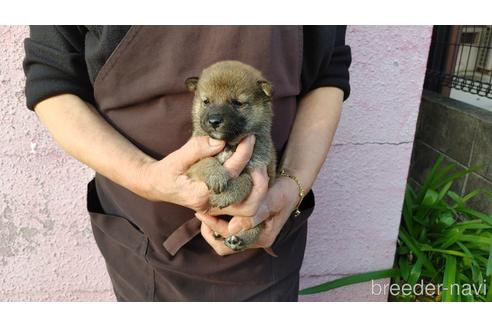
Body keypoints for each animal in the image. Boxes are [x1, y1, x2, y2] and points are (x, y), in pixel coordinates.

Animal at [185, 60, 276, 251]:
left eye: (237, 103)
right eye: (206, 101)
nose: (214, 121)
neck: (228, 144)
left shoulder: (258, 169)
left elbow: (245, 180)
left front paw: (226, 195)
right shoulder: (192, 164)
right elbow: (206, 161)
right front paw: (216, 175)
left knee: (256, 227)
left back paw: (240, 240)